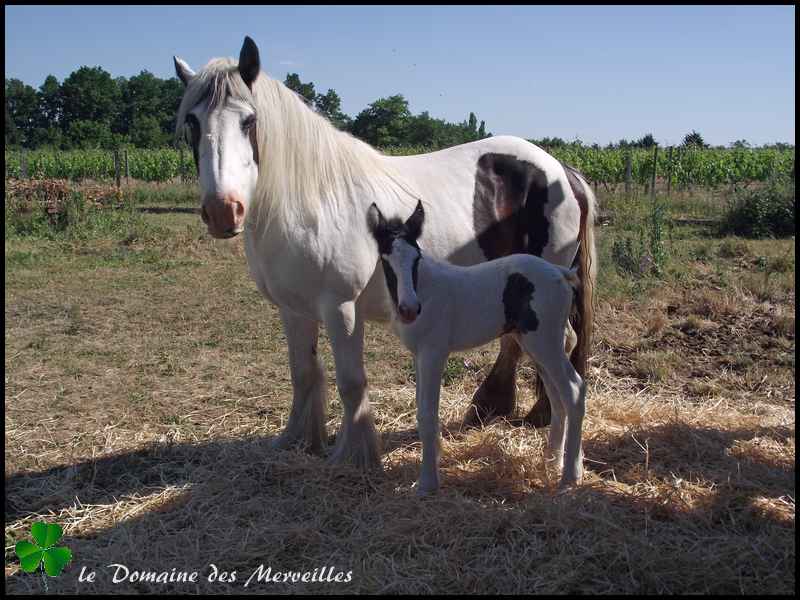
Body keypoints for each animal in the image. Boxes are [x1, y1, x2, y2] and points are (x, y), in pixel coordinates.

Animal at [368, 202, 588, 492]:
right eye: (386, 259)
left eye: (416, 258)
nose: (409, 309)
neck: (425, 289)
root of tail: (561, 274)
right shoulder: (418, 356)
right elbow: (420, 408)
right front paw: (435, 457)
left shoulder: (433, 353)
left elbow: (428, 414)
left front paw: (427, 482)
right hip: (536, 346)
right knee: (557, 396)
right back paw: (552, 463)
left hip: (546, 344)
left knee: (574, 390)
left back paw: (570, 478)